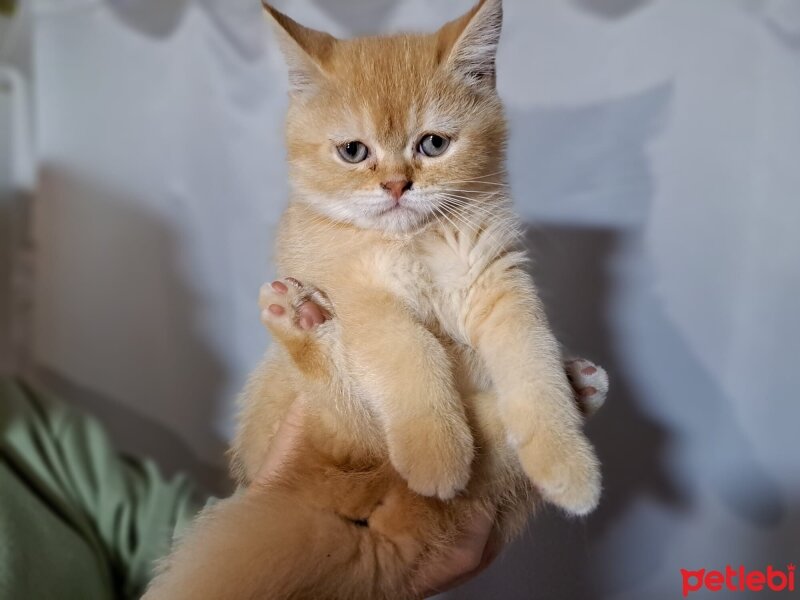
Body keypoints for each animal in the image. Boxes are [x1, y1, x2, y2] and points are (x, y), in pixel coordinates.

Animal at [147, 2, 604, 596]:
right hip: (286, 398)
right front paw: (436, 452)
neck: (416, 242)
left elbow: (534, 367)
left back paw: (581, 389)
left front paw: (568, 465)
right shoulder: (358, 296)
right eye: (353, 151)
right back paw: (300, 321)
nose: (395, 185)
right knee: (352, 432)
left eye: (433, 144)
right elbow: (410, 348)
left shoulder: (500, 286)